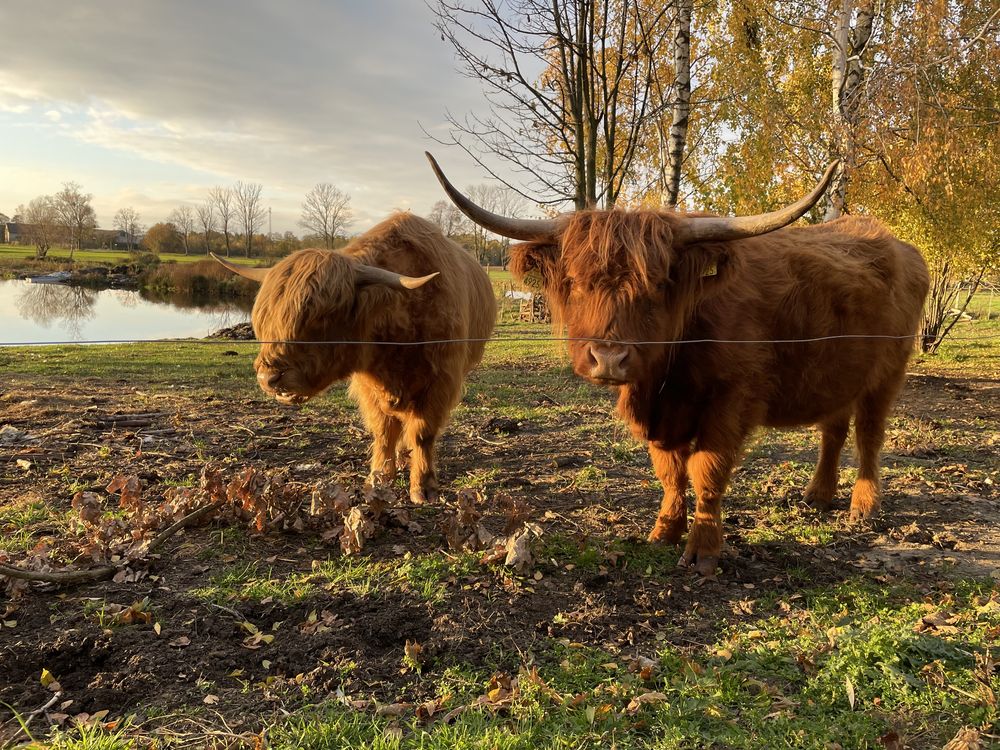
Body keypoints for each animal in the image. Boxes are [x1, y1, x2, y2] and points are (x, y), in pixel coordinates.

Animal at [213, 213, 494, 506]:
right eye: (265, 320)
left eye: (320, 317)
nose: (268, 377)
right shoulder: (369, 386)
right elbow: (384, 432)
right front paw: (379, 478)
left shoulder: (440, 382)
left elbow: (422, 434)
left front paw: (423, 487)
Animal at [428, 151, 928, 576]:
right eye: (575, 280)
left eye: (658, 285)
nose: (609, 357)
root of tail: (897, 244)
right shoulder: (663, 416)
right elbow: (669, 472)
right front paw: (663, 532)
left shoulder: (730, 402)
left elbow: (706, 471)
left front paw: (704, 550)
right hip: (840, 373)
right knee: (834, 429)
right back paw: (818, 495)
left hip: (888, 373)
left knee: (868, 435)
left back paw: (864, 505)